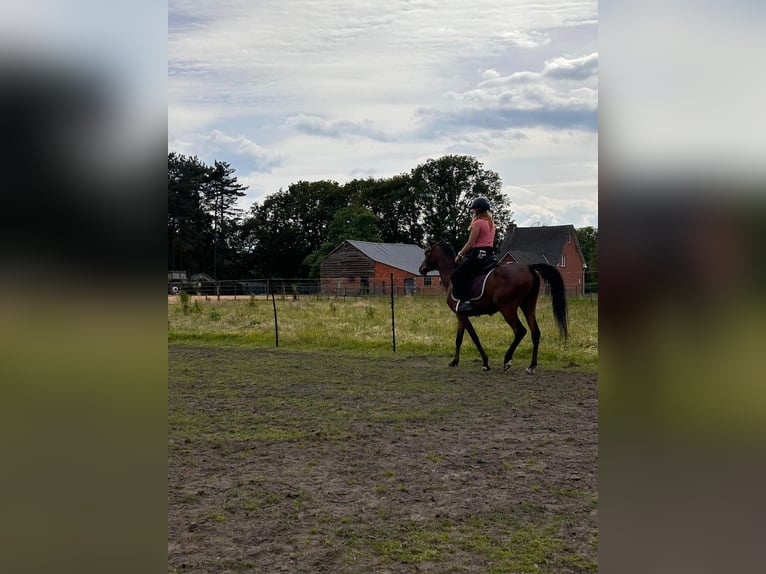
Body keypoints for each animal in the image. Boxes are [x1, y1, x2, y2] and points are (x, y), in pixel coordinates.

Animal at [420, 242, 568, 374]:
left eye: (427, 252)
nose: (421, 269)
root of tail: (529, 267)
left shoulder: (461, 315)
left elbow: (474, 337)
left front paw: (485, 363)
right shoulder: (460, 315)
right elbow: (459, 339)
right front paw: (454, 361)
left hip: (507, 308)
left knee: (520, 331)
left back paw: (507, 360)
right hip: (528, 306)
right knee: (535, 332)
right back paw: (531, 366)